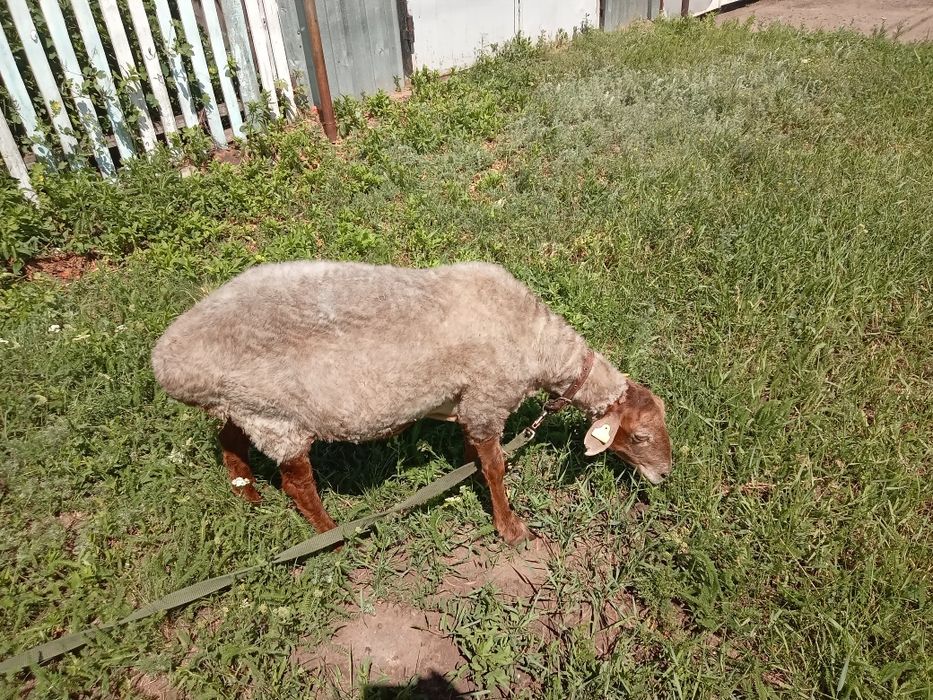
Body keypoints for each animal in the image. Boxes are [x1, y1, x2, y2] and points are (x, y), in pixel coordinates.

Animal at [152, 260, 672, 544]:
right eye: (641, 437)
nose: (665, 476)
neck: (537, 342)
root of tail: (168, 360)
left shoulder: (468, 402)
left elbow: (476, 454)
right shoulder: (487, 398)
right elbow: (496, 466)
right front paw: (510, 527)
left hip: (245, 407)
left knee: (228, 438)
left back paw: (248, 493)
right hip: (278, 417)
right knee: (297, 484)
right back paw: (332, 538)